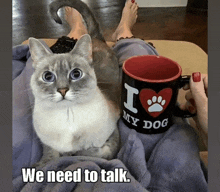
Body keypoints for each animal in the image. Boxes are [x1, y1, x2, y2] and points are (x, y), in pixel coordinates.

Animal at [28, 0, 121, 166]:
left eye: (76, 74)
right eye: (48, 76)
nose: (63, 90)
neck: (67, 116)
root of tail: (95, 38)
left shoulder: (112, 134)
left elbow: (92, 153)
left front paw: (75, 152)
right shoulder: (47, 143)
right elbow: (49, 158)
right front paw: (43, 164)